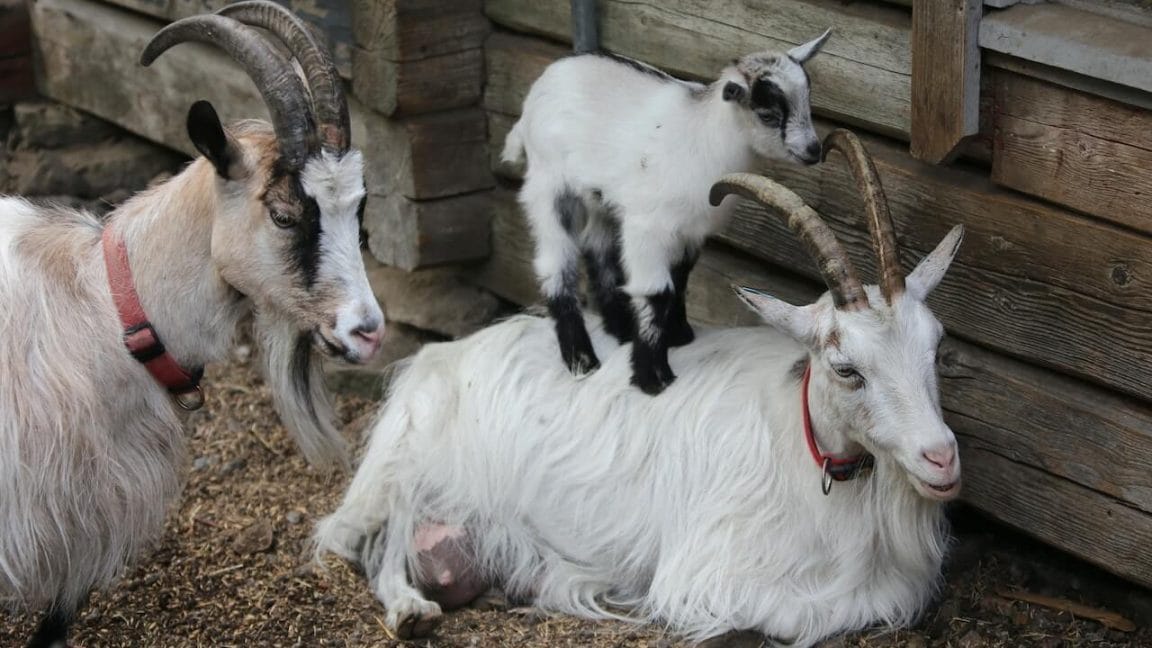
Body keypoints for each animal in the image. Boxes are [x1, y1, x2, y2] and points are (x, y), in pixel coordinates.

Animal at [316, 130, 966, 646]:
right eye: (845, 368)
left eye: (935, 346)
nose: (941, 458)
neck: (804, 448)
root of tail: (442, 354)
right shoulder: (702, 575)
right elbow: (807, 616)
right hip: (402, 469)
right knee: (359, 541)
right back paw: (412, 610)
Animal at [501, 30, 831, 395]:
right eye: (768, 114)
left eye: (808, 100)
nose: (813, 150)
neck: (705, 136)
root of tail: (539, 89)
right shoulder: (648, 228)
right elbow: (657, 291)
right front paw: (652, 376)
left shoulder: (690, 230)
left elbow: (681, 279)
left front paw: (680, 335)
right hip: (550, 185)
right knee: (556, 262)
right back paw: (581, 359)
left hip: (599, 197)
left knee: (597, 249)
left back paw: (620, 328)